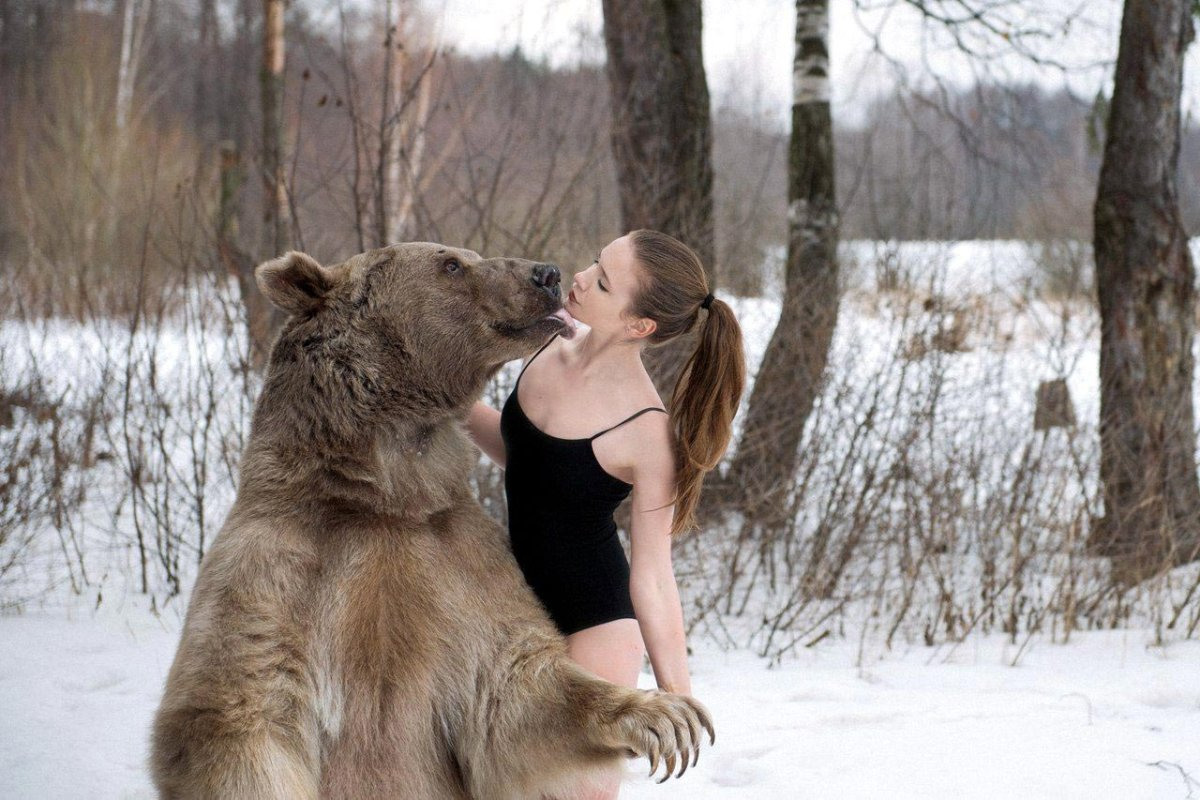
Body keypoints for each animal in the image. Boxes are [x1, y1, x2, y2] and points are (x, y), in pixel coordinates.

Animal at [150, 244, 710, 800]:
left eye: (464, 256)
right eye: (452, 264)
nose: (547, 274)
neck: (389, 490)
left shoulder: (460, 566)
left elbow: (512, 690)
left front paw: (665, 713)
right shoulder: (281, 566)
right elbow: (239, 708)